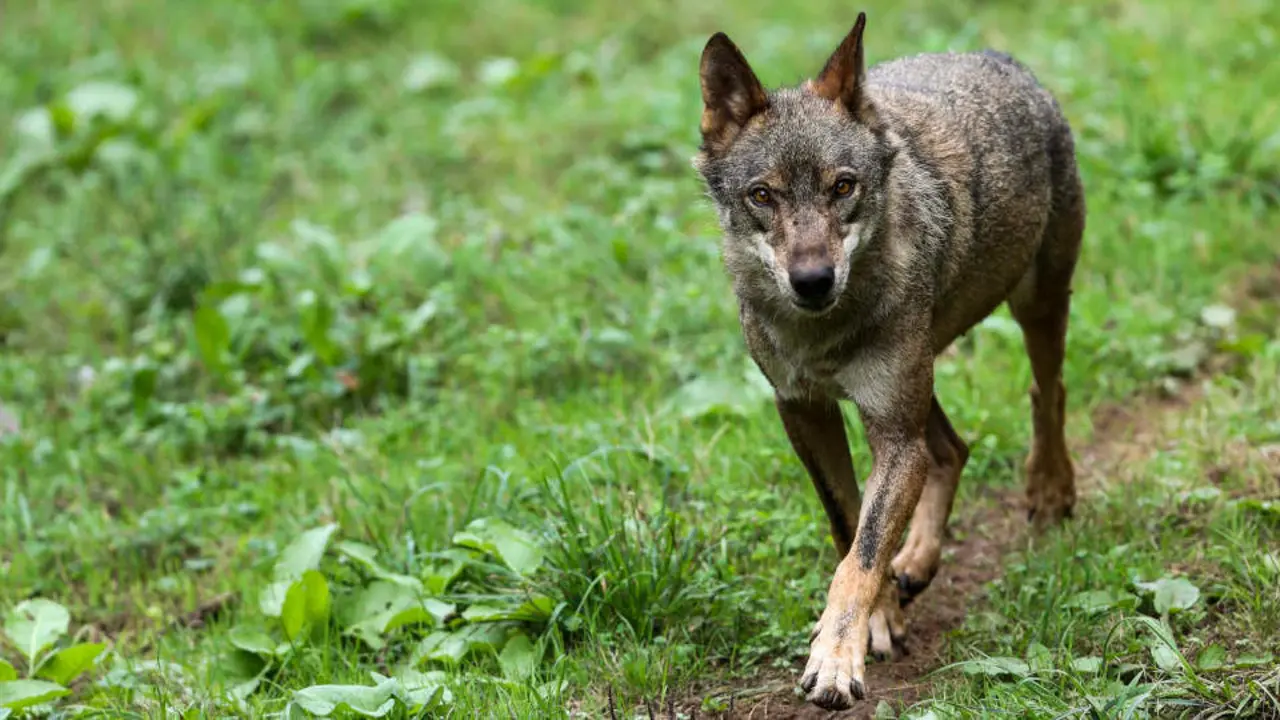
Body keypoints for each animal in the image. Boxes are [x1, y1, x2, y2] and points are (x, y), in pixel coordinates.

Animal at [692, 12, 1084, 710]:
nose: (813, 281)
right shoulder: (805, 413)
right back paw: (920, 561)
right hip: (921, 382)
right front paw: (878, 621)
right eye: (762, 195)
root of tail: (997, 57)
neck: (823, 335)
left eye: (843, 186)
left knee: (1048, 393)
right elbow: (848, 525)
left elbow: (862, 555)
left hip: (1032, 309)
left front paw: (835, 660)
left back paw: (1049, 490)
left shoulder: (893, 436)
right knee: (953, 447)